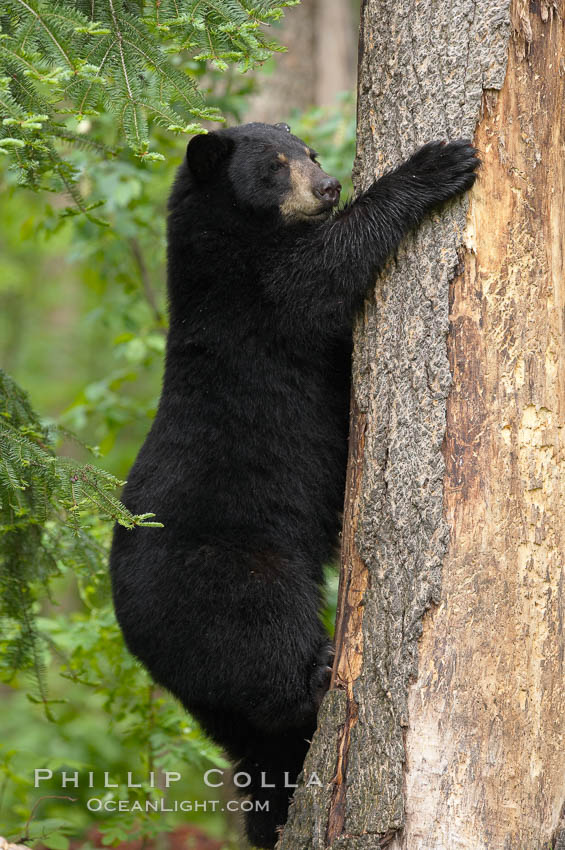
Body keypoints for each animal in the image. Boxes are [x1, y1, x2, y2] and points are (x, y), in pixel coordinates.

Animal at [111, 121, 480, 848]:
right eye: (276, 167)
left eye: (305, 152)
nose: (329, 184)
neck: (230, 240)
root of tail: (135, 637)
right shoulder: (259, 296)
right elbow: (326, 273)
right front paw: (436, 164)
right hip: (229, 576)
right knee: (263, 648)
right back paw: (320, 675)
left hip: (214, 697)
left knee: (258, 742)